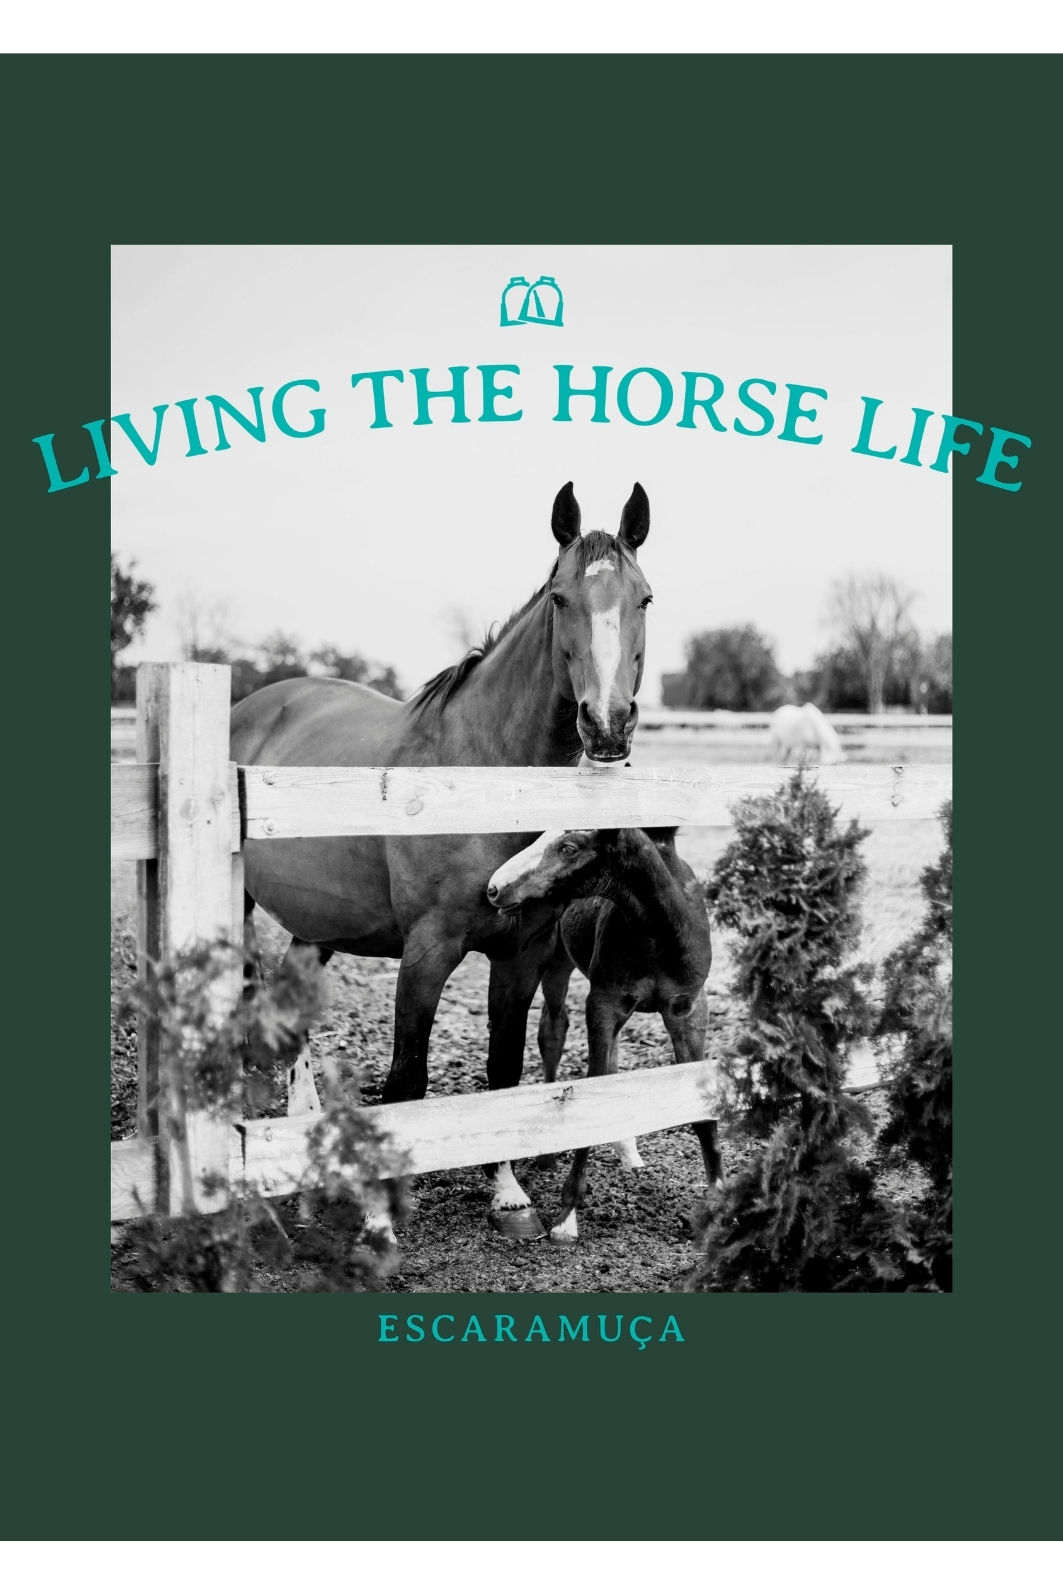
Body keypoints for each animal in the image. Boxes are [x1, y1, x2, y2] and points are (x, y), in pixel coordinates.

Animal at [230, 481, 654, 1240]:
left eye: (644, 599)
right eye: (560, 598)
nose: (606, 725)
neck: (481, 771)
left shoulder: (519, 955)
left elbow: (503, 1068)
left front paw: (506, 1192)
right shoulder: (427, 952)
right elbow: (406, 1080)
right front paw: (380, 1217)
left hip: (317, 926)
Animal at [486, 826, 721, 1245]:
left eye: (569, 847)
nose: (495, 888)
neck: (657, 929)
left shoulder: (688, 1010)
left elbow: (699, 1105)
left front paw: (717, 1206)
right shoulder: (603, 1002)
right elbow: (592, 1089)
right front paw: (566, 1218)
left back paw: (628, 1150)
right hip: (556, 959)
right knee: (553, 1032)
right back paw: (549, 1154)